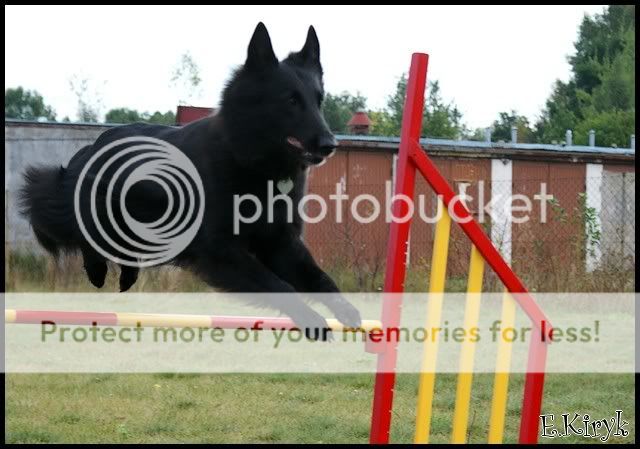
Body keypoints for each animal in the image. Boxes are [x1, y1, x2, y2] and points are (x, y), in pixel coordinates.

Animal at [19, 22, 362, 340]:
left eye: (318, 100)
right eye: (290, 100)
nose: (330, 144)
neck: (247, 158)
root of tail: (93, 145)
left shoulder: (280, 242)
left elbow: (319, 278)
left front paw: (346, 310)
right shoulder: (221, 251)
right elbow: (278, 285)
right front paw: (311, 320)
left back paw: (127, 275)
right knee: (84, 234)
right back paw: (97, 270)